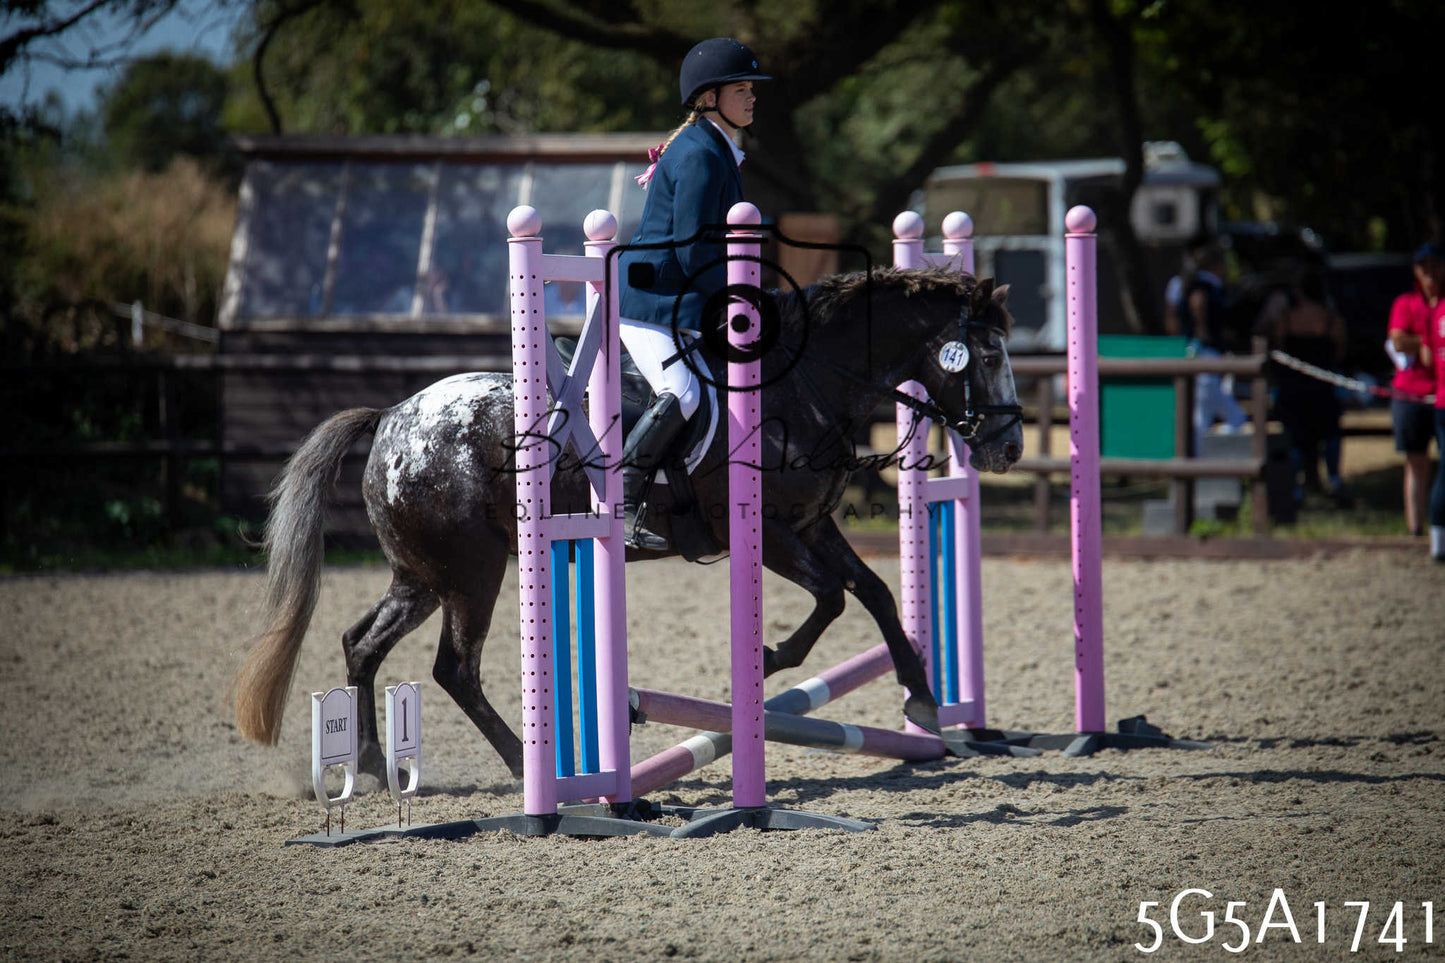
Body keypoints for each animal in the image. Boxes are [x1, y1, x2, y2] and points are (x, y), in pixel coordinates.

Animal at [232, 266, 1023, 782]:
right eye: (987, 354)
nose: (1009, 447)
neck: (802, 387)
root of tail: (395, 415)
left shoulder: (812, 526)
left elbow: (875, 594)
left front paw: (922, 699)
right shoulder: (766, 533)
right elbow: (831, 598)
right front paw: (765, 661)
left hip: (422, 576)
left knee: (361, 643)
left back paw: (369, 765)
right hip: (473, 573)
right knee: (454, 668)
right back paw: (530, 770)